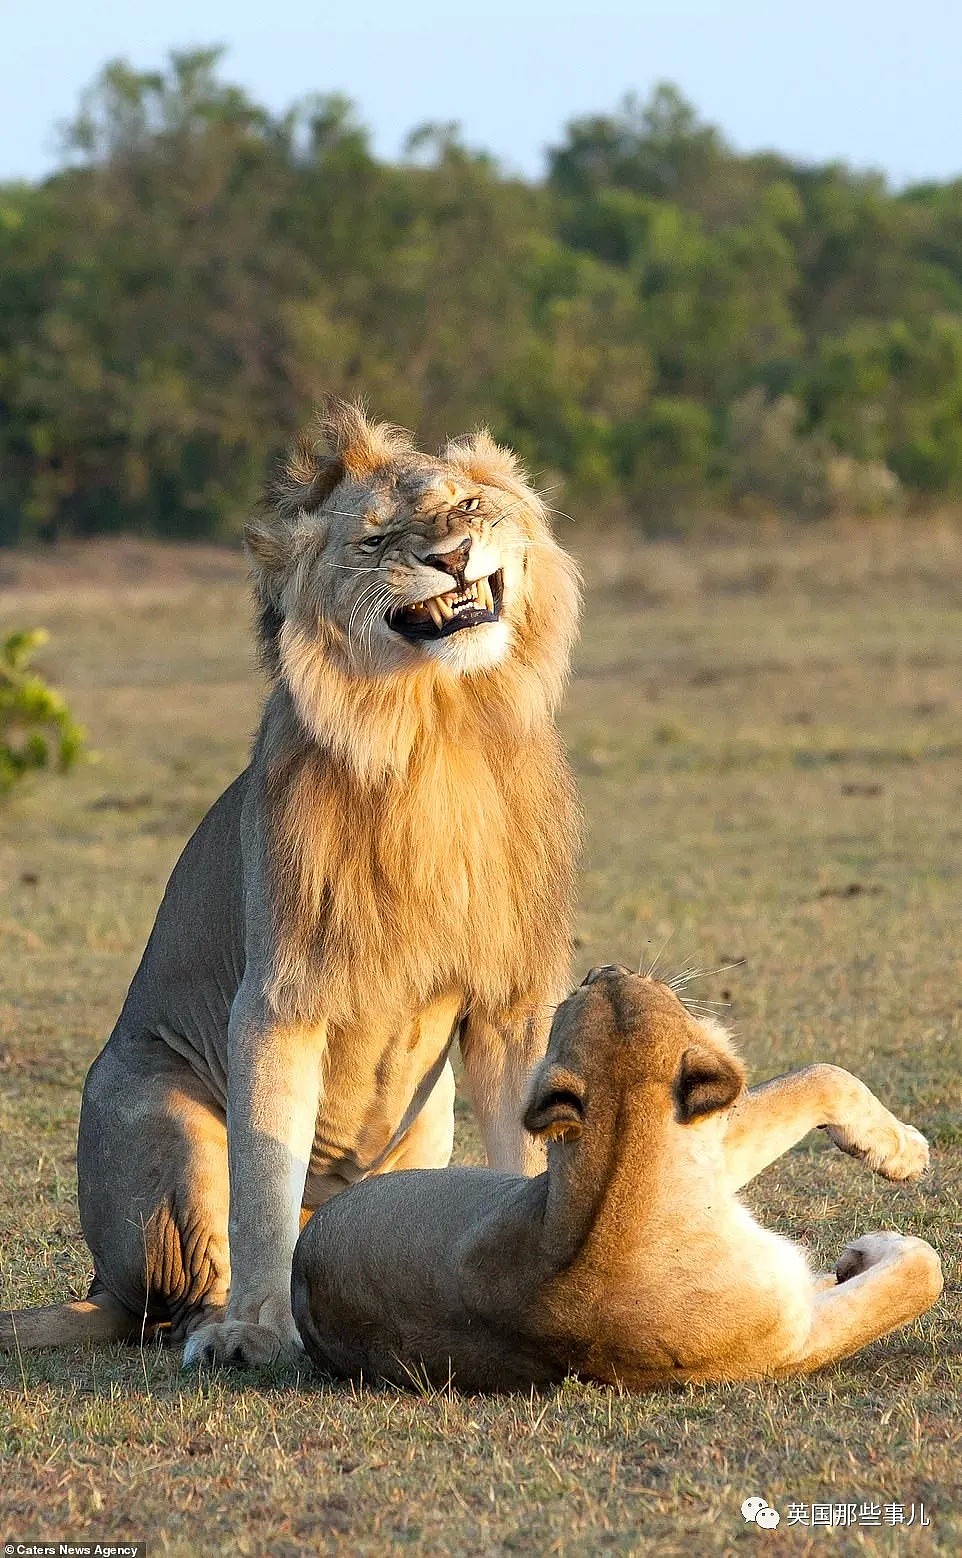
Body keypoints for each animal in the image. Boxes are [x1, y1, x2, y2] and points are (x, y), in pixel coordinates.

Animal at [0, 398, 576, 1364]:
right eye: (378, 538)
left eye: (464, 505)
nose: (452, 556)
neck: (436, 730)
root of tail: (100, 1282)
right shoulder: (279, 997)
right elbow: (265, 1178)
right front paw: (257, 1333)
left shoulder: (512, 1002)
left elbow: (533, 1152)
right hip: (163, 1119)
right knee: (185, 1287)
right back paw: (218, 1326)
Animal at [290, 959, 935, 1389]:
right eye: (653, 987)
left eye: (592, 988)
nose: (604, 967)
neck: (619, 1178)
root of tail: (300, 1266)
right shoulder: (789, 1339)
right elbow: (919, 1274)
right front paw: (899, 1173)